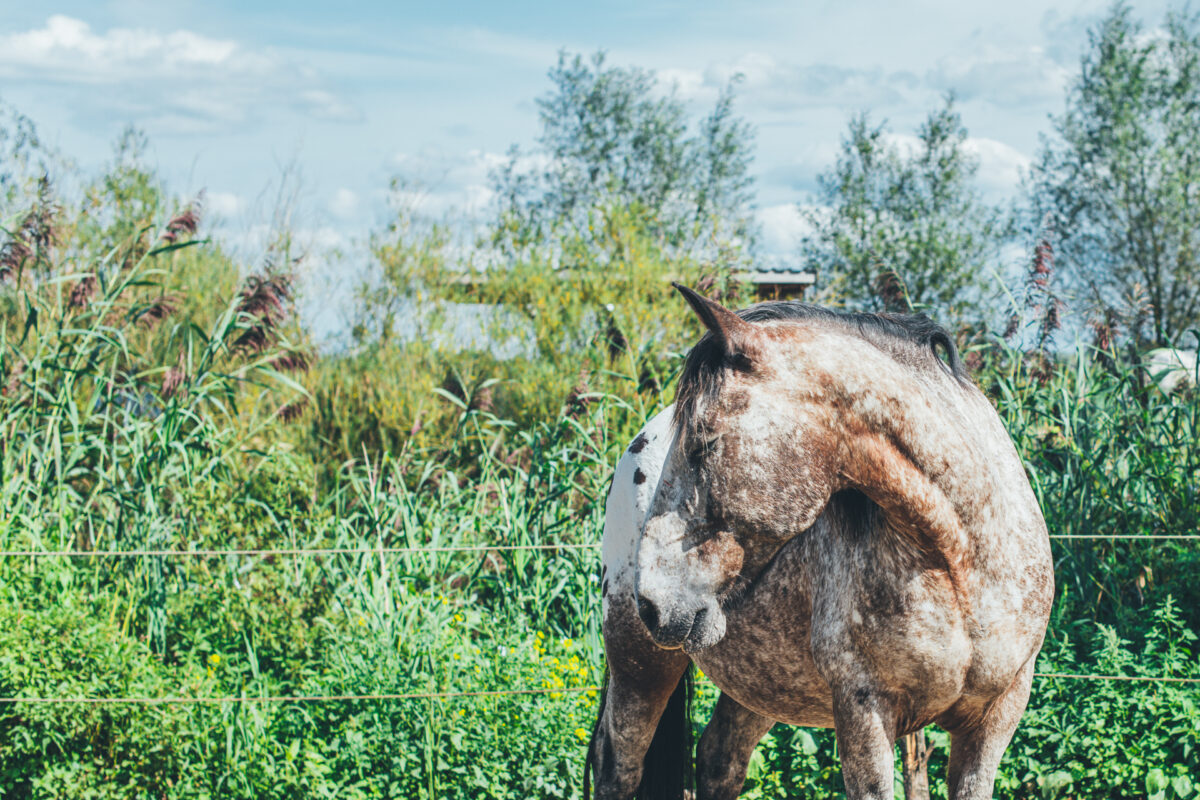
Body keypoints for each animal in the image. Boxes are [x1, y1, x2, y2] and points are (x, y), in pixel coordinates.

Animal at [586, 285, 1054, 800]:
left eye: (702, 443)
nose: (653, 602)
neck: (960, 563)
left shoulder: (994, 721)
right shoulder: (863, 712)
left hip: (760, 683)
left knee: (717, 760)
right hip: (639, 664)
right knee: (618, 767)